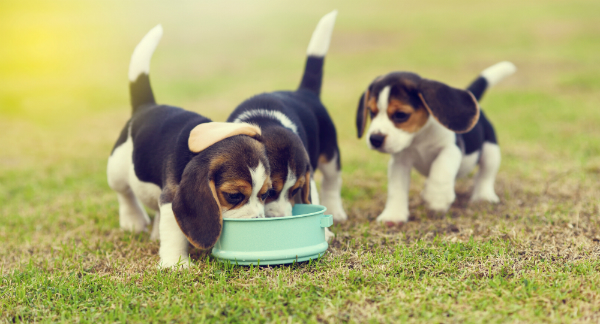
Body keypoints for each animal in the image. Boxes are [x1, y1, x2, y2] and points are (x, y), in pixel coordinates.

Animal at [106, 25, 270, 268]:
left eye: (266, 194)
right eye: (233, 196)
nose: (259, 222)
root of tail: (146, 106)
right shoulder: (173, 196)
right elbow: (174, 232)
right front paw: (176, 264)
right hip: (116, 167)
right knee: (123, 192)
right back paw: (132, 220)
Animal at [225, 10, 346, 223]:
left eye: (295, 190)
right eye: (269, 192)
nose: (281, 217)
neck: (263, 120)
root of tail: (305, 92)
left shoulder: (308, 176)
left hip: (331, 154)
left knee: (332, 182)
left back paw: (336, 211)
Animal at [356, 62, 516, 225]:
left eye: (401, 115)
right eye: (371, 112)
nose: (375, 139)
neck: (419, 137)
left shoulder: (452, 148)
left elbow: (441, 167)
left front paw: (437, 198)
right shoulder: (399, 162)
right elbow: (397, 188)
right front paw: (393, 215)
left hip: (491, 151)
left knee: (485, 175)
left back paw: (484, 196)